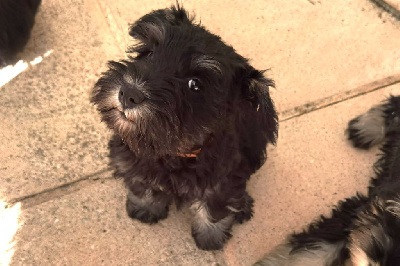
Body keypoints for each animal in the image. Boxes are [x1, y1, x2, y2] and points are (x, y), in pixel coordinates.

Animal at [91, 4, 278, 249]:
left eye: (195, 85)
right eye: (149, 53)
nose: (129, 94)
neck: (172, 151)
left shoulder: (220, 183)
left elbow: (214, 209)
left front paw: (210, 238)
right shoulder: (130, 160)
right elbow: (142, 185)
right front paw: (145, 207)